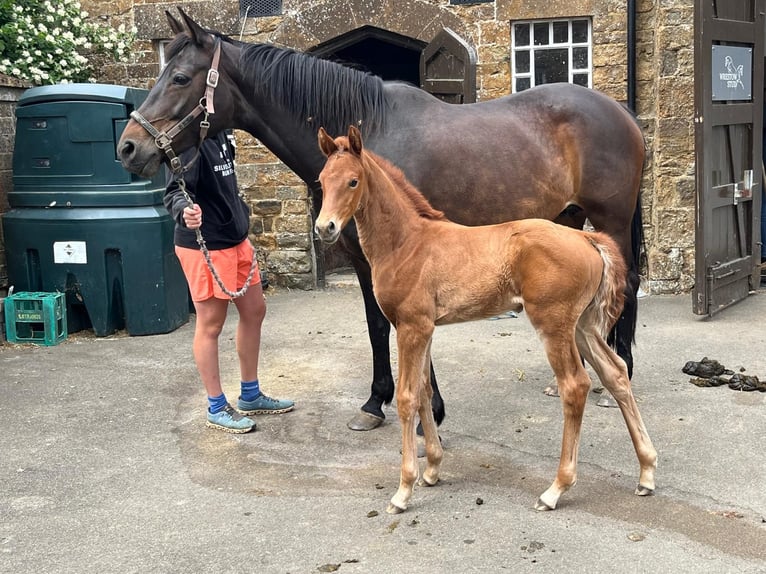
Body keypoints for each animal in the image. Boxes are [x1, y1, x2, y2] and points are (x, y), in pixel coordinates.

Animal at [117, 8, 646, 432]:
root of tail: (622, 113)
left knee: (625, 285)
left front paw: (430, 410)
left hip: (611, 221)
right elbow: (376, 324)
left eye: (181, 78)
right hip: (568, 222)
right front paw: (375, 403)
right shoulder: (361, 257)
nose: (128, 148)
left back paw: (615, 378)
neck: (370, 134)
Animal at [315, 125, 657, 513]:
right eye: (322, 181)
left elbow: (406, 398)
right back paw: (646, 472)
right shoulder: (425, 328)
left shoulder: (410, 327)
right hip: (583, 326)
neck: (408, 243)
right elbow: (424, 391)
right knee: (615, 373)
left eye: (353, 181)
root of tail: (587, 238)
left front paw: (403, 490)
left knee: (575, 386)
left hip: (554, 324)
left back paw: (555, 489)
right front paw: (432, 469)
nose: (324, 228)